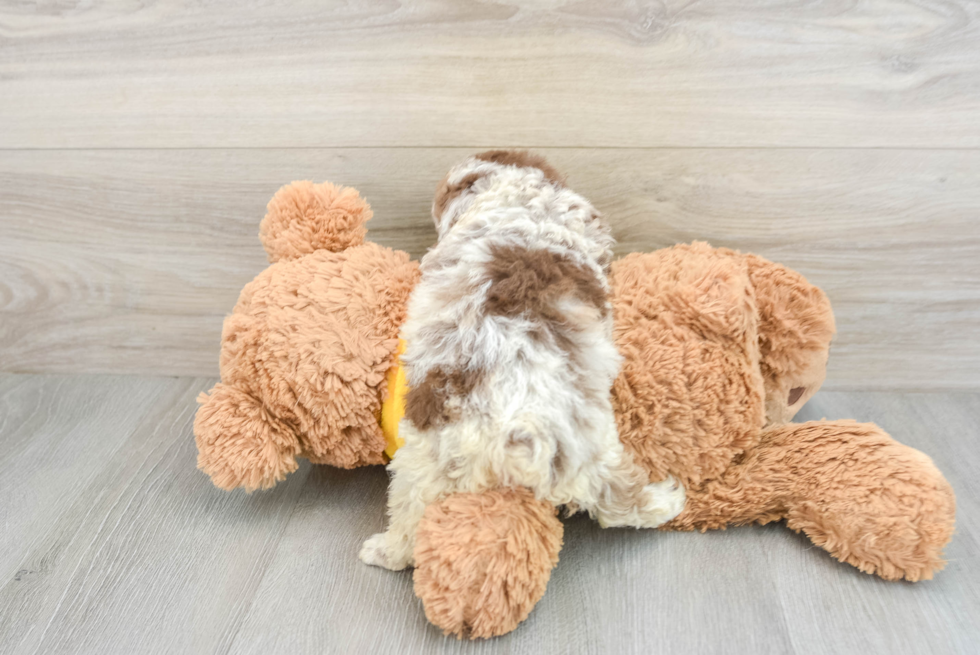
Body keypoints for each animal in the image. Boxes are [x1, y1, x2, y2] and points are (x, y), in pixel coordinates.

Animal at [356, 151, 684, 572]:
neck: (526, 201)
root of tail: (522, 426)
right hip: (593, 441)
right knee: (619, 499)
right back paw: (668, 501)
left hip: (425, 461)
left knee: (411, 519)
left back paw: (382, 551)